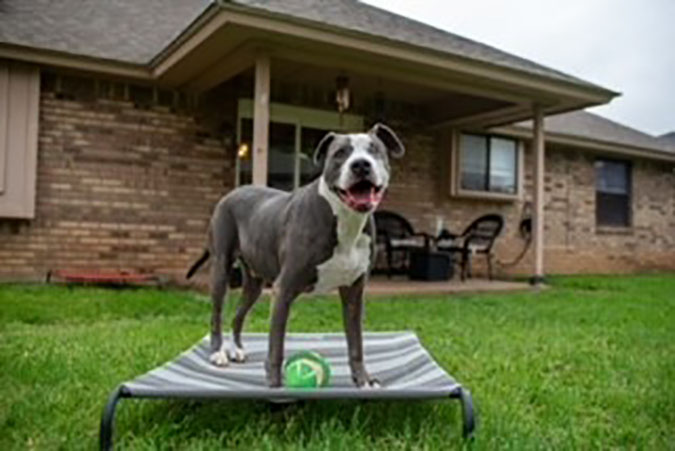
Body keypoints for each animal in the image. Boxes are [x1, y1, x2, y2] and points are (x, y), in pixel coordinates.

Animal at [187, 123, 404, 388]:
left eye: (375, 150)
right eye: (340, 153)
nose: (361, 165)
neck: (344, 219)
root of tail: (233, 192)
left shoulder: (354, 293)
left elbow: (357, 344)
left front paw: (362, 379)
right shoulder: (284, 289)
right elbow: (275, 347)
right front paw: (274, 385)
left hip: (254, 283)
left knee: (239, 315)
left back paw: (236, 349)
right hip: (221, 269)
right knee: (216, 314)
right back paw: (218, 352)